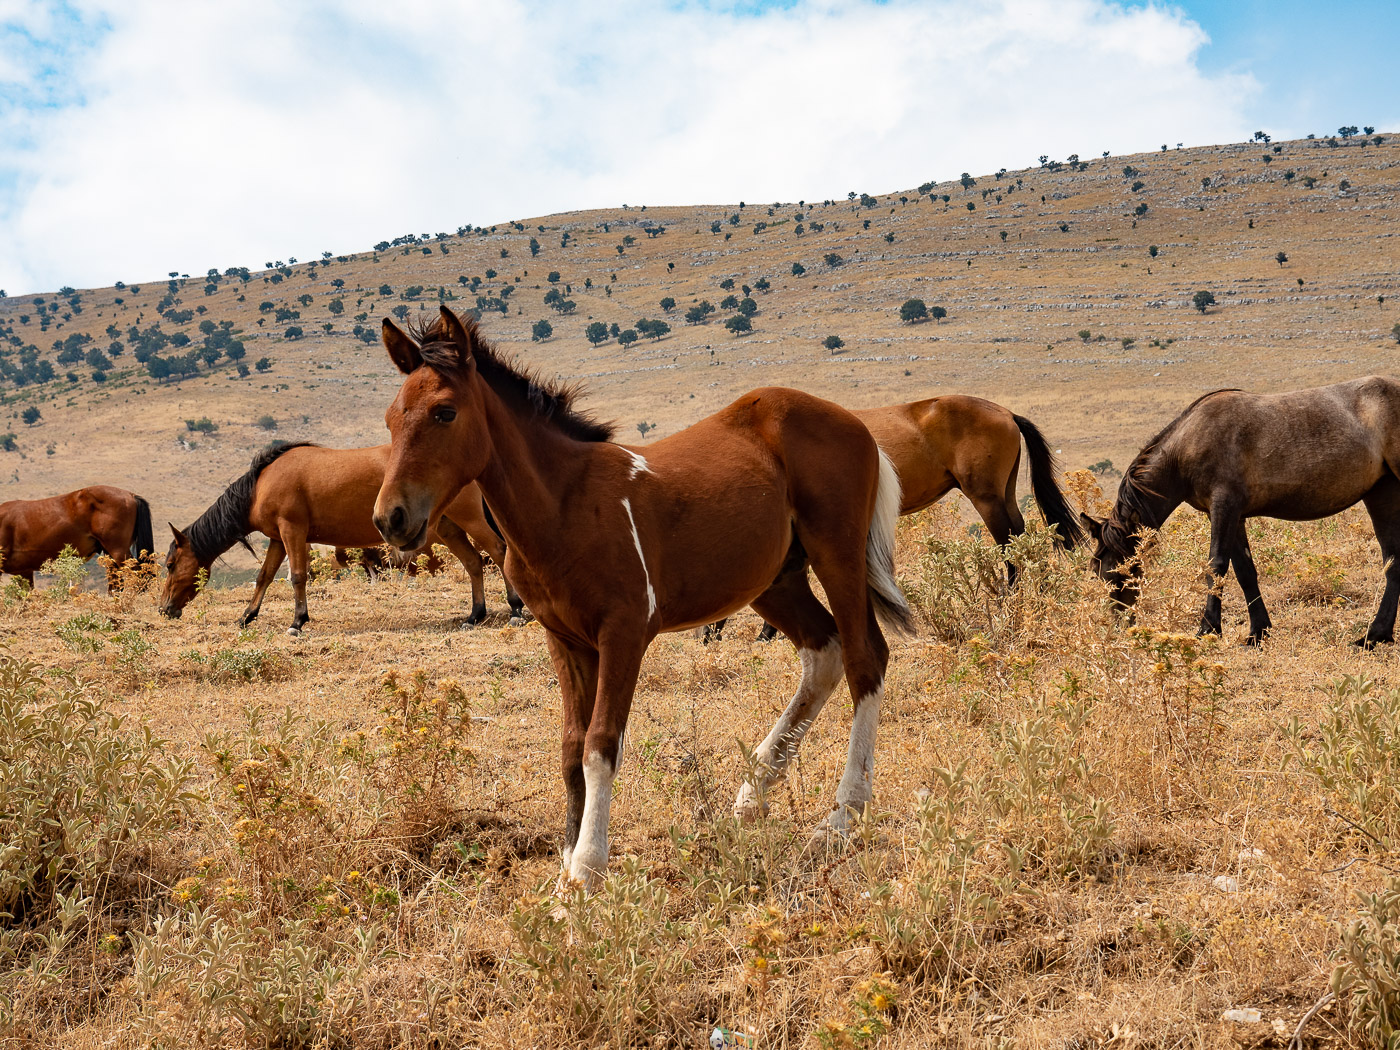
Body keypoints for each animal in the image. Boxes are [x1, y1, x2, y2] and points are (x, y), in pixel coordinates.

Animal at [162, 445, 526, 632]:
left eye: (170, 565)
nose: (164, 608)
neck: (260, 484)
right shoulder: (279, 538)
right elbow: (264, 576)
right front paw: (247, 616)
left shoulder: (293, 531)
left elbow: (298, 577)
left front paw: (297, 621)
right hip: (448, 527)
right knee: (473, 562)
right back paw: (475, 615)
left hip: (470, 519)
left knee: (498, 551)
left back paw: (515, 609)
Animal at [375, 308, 918, 890]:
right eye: (390, 419)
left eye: (444, 412)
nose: (391, 518)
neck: (564, 505)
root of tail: (858, 425)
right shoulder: (564, 639)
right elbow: (570, 748)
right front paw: (566, 867)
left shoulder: (625, 632)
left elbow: (600, 744)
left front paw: (587, 869)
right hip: (775, 581)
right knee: (824, 653)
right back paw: (752, 796)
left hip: (836, 553)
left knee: (866, 658)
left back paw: (840, 818)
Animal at [700, 392, 1080, 641]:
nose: (706, 635)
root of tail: (1006, 413)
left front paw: (768, 634)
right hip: (1004, 494)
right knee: (1024, 539)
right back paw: (1039, 594)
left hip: (986, 499)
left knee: (1010, 545)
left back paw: (1013, 604)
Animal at [1080, 375, 1400, 646]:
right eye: (1097, 573)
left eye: (1120, 572)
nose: (1121, 624)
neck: (1189, 444)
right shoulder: (1230, 515)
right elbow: (1245, 571)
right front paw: (1258, 632)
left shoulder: (1225, 506)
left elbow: (1216, 565)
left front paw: (1208, 629)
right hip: (1381, 493)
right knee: (1392, 560)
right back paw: (1375, 636)